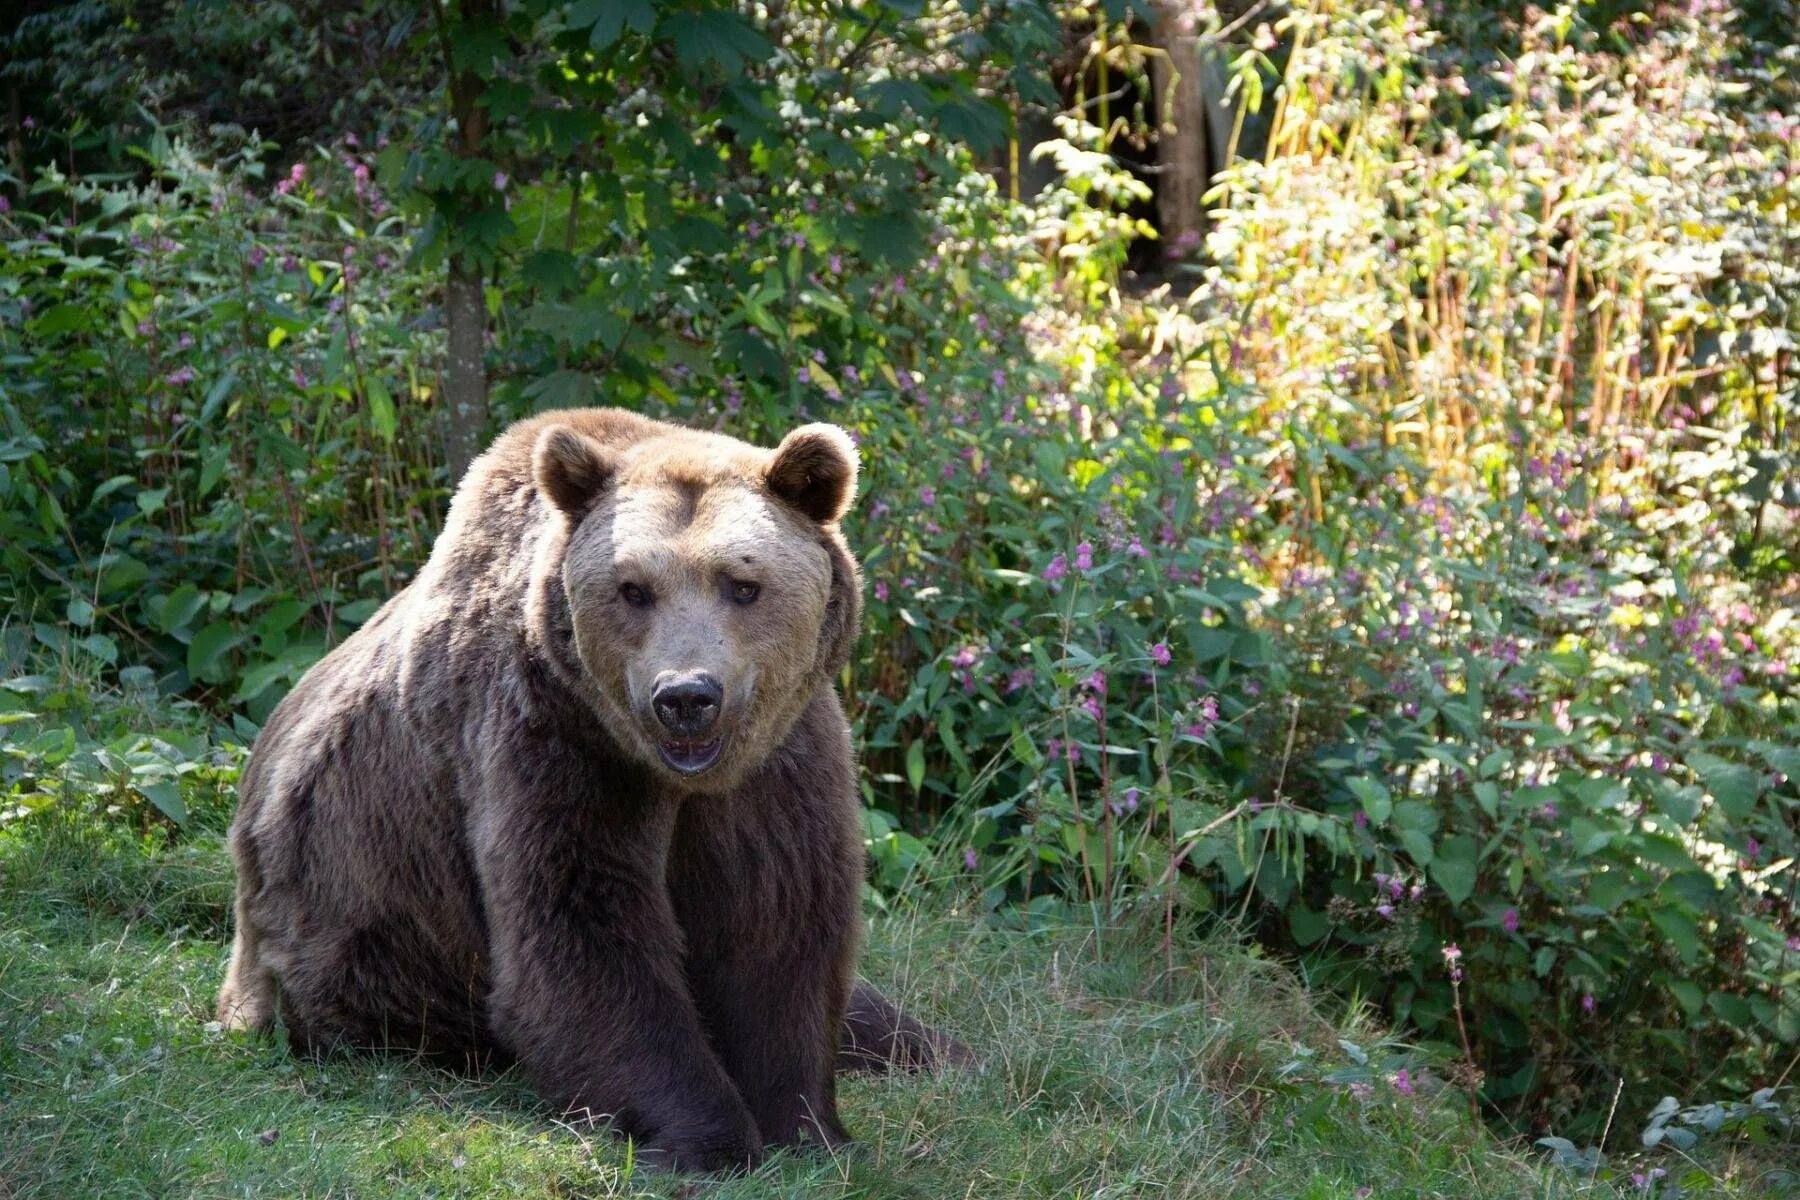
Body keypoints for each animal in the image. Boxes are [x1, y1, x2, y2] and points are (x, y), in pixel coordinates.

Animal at [221, 410, 972, 1173]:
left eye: (742, 583)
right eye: (632, 588)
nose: (686, 697)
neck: (677, 776)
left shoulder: (779, 763)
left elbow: (778, 926)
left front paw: (807, 1124)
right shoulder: (553, 743)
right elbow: (582, 934)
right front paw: (712, 1136)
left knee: (887, 1023)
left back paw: (940, 1048)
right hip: (354, 937)